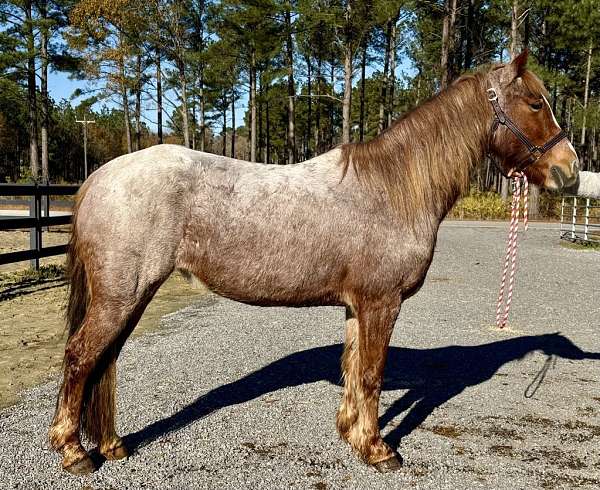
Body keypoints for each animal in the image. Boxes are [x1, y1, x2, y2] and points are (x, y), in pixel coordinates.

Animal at [50, 52, 576, 474]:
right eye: (535, 103)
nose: (569, 171)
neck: (392, 189)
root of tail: (99, 176)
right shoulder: (382, 302)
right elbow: (372, 373)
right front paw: (379, 451)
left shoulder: (358, 306)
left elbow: (354, 368)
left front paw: (353, 435)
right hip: (121, 296)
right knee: (80, 357)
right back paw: (74, 454)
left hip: (131, 296)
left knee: (105, 362)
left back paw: (112, 446)